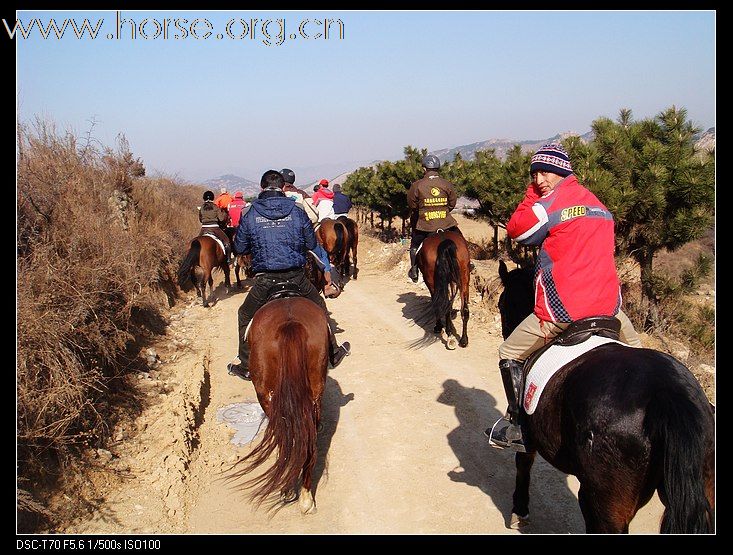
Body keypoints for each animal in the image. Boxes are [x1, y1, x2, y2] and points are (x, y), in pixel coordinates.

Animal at [232, 298, 328, 516]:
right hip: (314, 393)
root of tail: (290, 324)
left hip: (266, 396)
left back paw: (289, 490)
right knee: (306, 442)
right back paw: (306, 498)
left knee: (287, 441)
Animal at [498, 260, 716, 536]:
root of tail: (669, 393)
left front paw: (519, 511)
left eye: (502, 304)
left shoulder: (529, 433)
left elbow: (523, 461)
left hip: (606, 499)